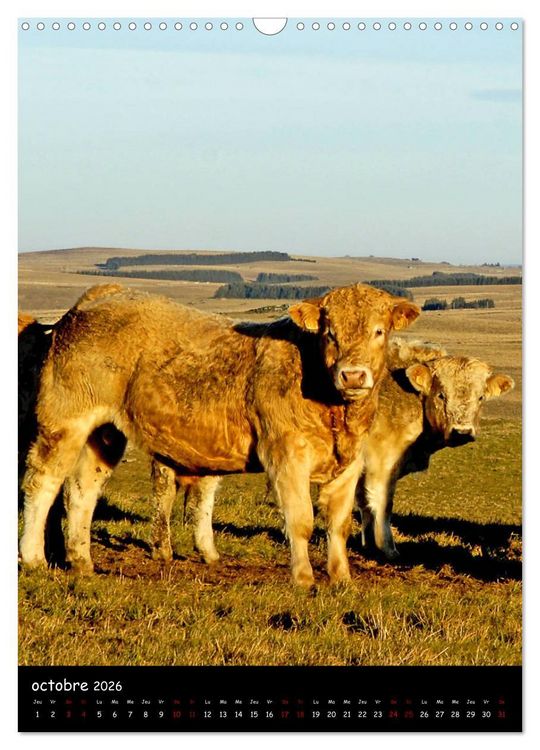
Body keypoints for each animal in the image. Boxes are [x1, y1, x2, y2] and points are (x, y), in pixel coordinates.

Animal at [19, 282, 419, 585]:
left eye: (379, 331)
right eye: (329, 333)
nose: (352, 375)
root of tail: (99, 297)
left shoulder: (348, 463)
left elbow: (338, 524)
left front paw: (341, 579)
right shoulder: (286, 456)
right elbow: (302, 521)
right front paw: (304, 578)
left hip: (104, 433)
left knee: (82, 490)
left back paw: (81, 561)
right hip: (64, 421)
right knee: (43, 484)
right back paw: (34, 557)